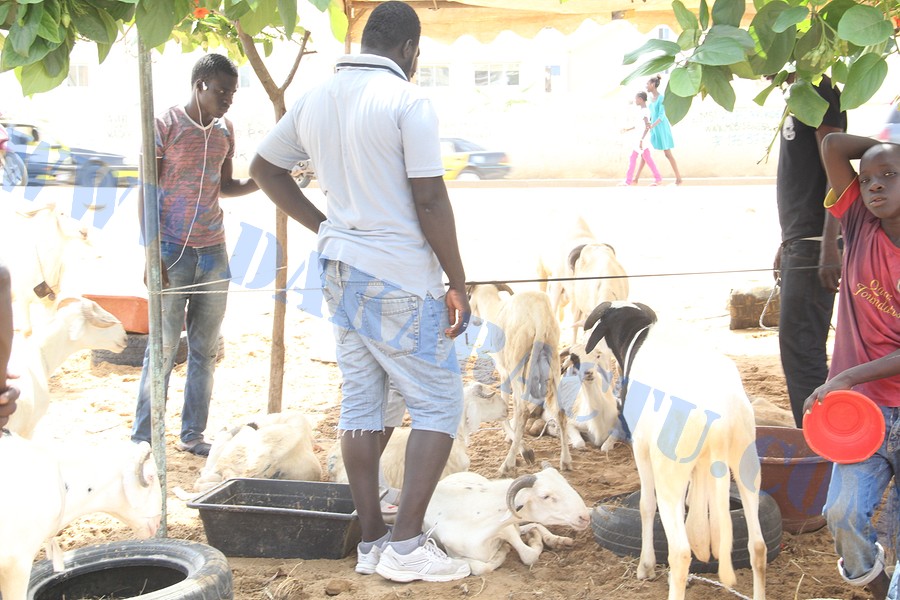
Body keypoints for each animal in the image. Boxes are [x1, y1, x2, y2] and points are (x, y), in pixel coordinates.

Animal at [422, 462, 592, 576]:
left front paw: (533, 539)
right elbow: (480, 568)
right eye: (545, 496)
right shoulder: (454, 554)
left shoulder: (507, 528)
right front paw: (504, 550)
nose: (584, 517)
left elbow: (528, 555)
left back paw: (556, 539)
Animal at [584, 302, 768, 600]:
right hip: (746, 464)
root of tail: (719, 414)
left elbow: (646, 505)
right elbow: (689, 507)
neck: (640, 335)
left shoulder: (642, 447)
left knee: (680, 552)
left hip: (669, 471)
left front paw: (645, 566)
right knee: (758, 546)